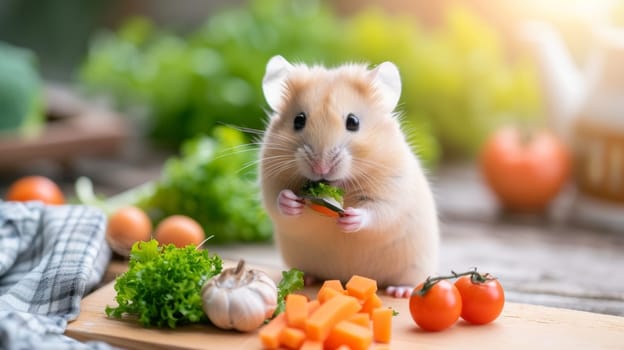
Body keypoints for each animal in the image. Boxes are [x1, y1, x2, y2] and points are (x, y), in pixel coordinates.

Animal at [258, 55, 438, 298]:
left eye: (353, 122)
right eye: (298, 120)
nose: (321, 166)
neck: (341, 185)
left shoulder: (393, 192)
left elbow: (378, 213)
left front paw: (351, 218)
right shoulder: (270, 179)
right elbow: (276, 200)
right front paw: (290, 201)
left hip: (415, 265)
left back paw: (401, 292)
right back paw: (307, 278)